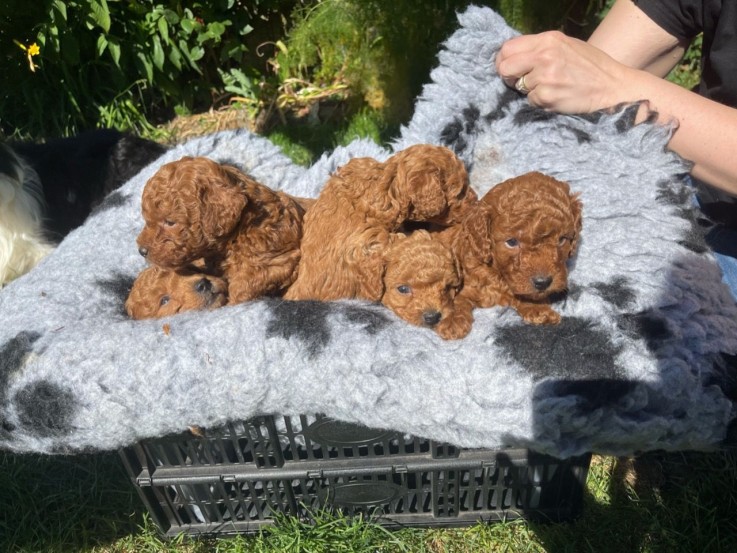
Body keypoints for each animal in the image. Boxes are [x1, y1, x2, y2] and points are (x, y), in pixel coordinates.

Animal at [436, 172, 580, 326]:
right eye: (511, 242)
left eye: (562, 239)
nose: (543, 282)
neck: (497, 273)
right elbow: (457, 302)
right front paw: (452, 321)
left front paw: (539, 309)